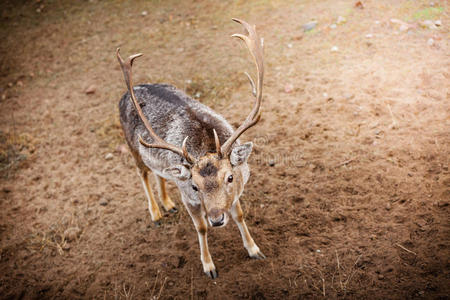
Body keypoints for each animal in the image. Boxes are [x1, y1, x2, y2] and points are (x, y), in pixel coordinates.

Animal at [115, 18, 268, 278]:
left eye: (230, 177)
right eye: (195, 186)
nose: (217, 219)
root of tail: (125, 95)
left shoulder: (236, 193)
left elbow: (239, 215)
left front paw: (255, 250)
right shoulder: (188, 196)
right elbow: (201, 228)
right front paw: (209, 266)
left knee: (159, 173)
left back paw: (168, 204)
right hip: (131, 144)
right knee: (142, 172)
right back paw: (156, 213)